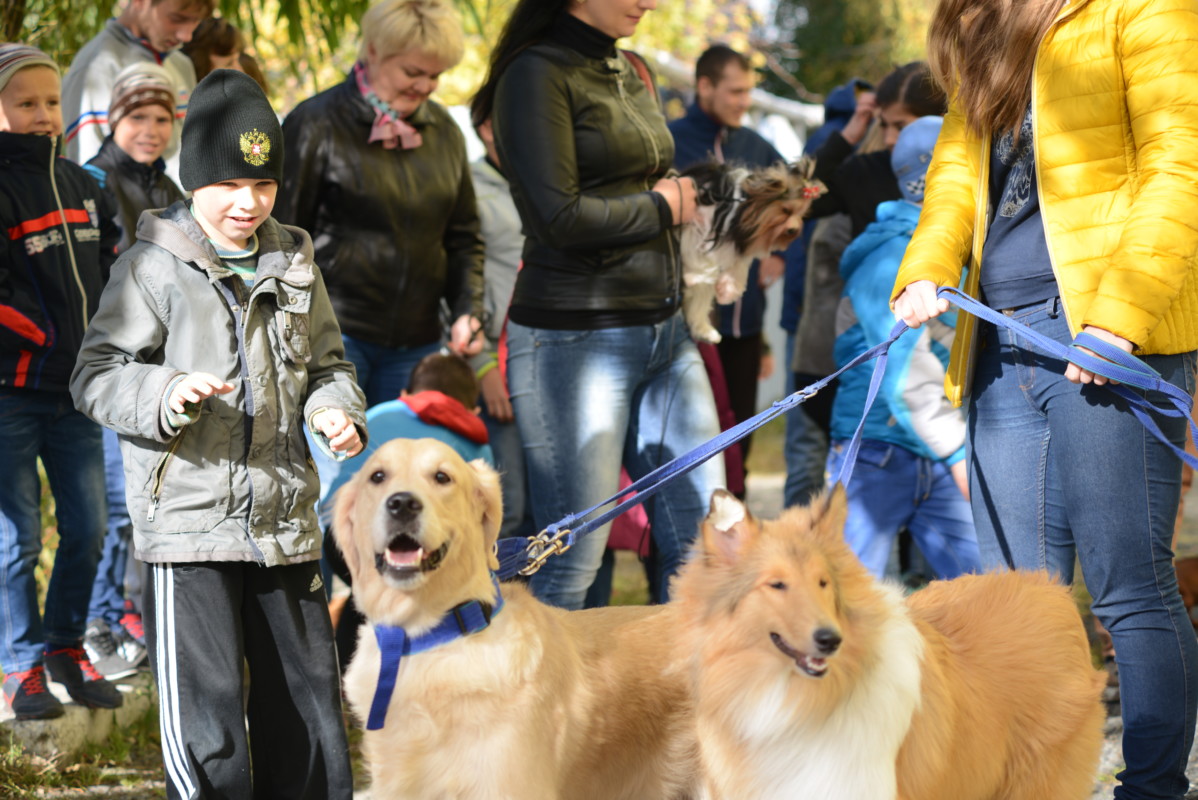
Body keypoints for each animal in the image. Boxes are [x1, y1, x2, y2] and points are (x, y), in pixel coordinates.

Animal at [680, 158, 829, 342]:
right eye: (786, 210)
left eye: (802, 214)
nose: (794, 230)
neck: (737, 209)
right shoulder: (694, 224)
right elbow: (695, 254)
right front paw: (696, 276)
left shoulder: (738, 243)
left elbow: (737, 267)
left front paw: (727, 291)